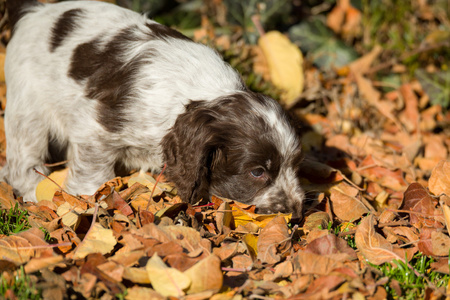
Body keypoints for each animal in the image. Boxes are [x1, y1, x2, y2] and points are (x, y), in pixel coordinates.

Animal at [1, 0, 304, 217]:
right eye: (257, 172)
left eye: (295, 165)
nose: (296, 212)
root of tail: (34, 10)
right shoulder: (95, 128)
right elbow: (93, 174)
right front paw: (85, 201)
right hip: (27, 106)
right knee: (23, 156)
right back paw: (32, 191)